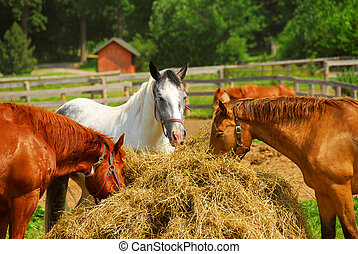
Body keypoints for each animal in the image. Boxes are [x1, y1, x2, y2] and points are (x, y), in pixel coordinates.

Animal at [210, 97, 358, 238]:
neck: (319, 132)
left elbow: (351, 231)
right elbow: (327, 232)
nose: (212, 160)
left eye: (219, 133)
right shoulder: (323, 192)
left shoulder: (339, 189)